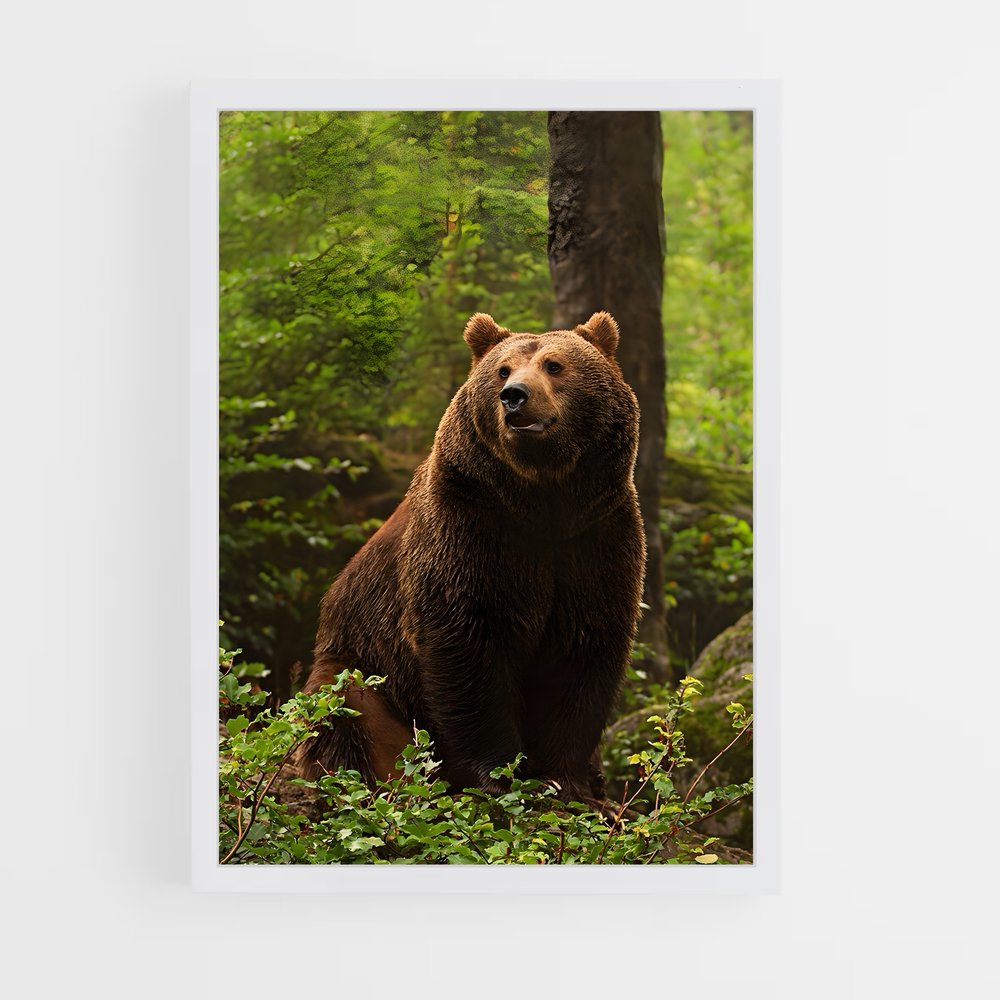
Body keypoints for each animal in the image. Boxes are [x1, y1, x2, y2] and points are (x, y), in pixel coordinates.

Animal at [297, 310, 645, 805]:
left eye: (554, 365)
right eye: (502, 369)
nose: (514, 396)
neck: (544, 499)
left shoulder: (596, 534)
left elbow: (583, 646)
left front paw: (568, 779)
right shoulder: (471, 525)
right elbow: (467, 640)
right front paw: (499, 773)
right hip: (364, 665)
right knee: (347, 711)